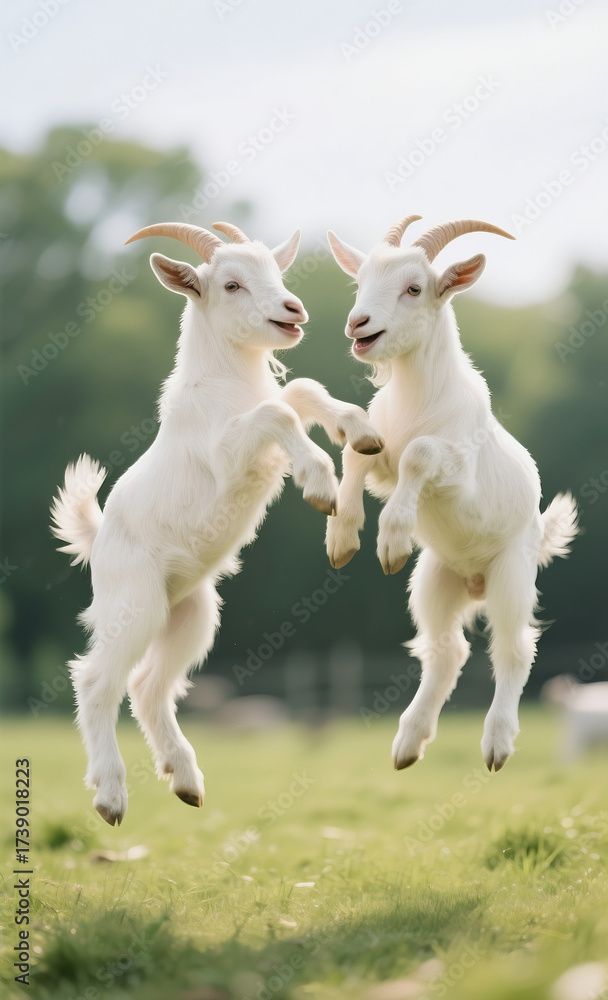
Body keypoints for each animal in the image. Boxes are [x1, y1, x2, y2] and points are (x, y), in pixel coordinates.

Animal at [51, 221, 384, 825]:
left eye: (275, 272)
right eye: (231, 284)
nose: (292, 309)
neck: (228, 386)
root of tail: (99, 536)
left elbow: (298, 393)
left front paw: (360, 430)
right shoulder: (228, 456)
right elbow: (278, 411)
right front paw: (320, 483)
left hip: (190, 612)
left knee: (148, 685)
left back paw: (185, 779)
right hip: (133, 601)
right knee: (96, 680)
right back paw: (111, 795)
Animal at [326, 215, 579, 772]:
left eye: (414, 288)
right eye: (360, 282)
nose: (357, 323)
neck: (418, 397)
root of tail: (477, 583)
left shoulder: (458, 472)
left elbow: (420, 454)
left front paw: (392, 539)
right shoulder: (383, 459)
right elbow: (359, 454)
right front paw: (344, 536)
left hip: (511, 574)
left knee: (513, 649)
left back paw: (497, 744)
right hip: (434, 580)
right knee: (447, 652)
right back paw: (407, 743)